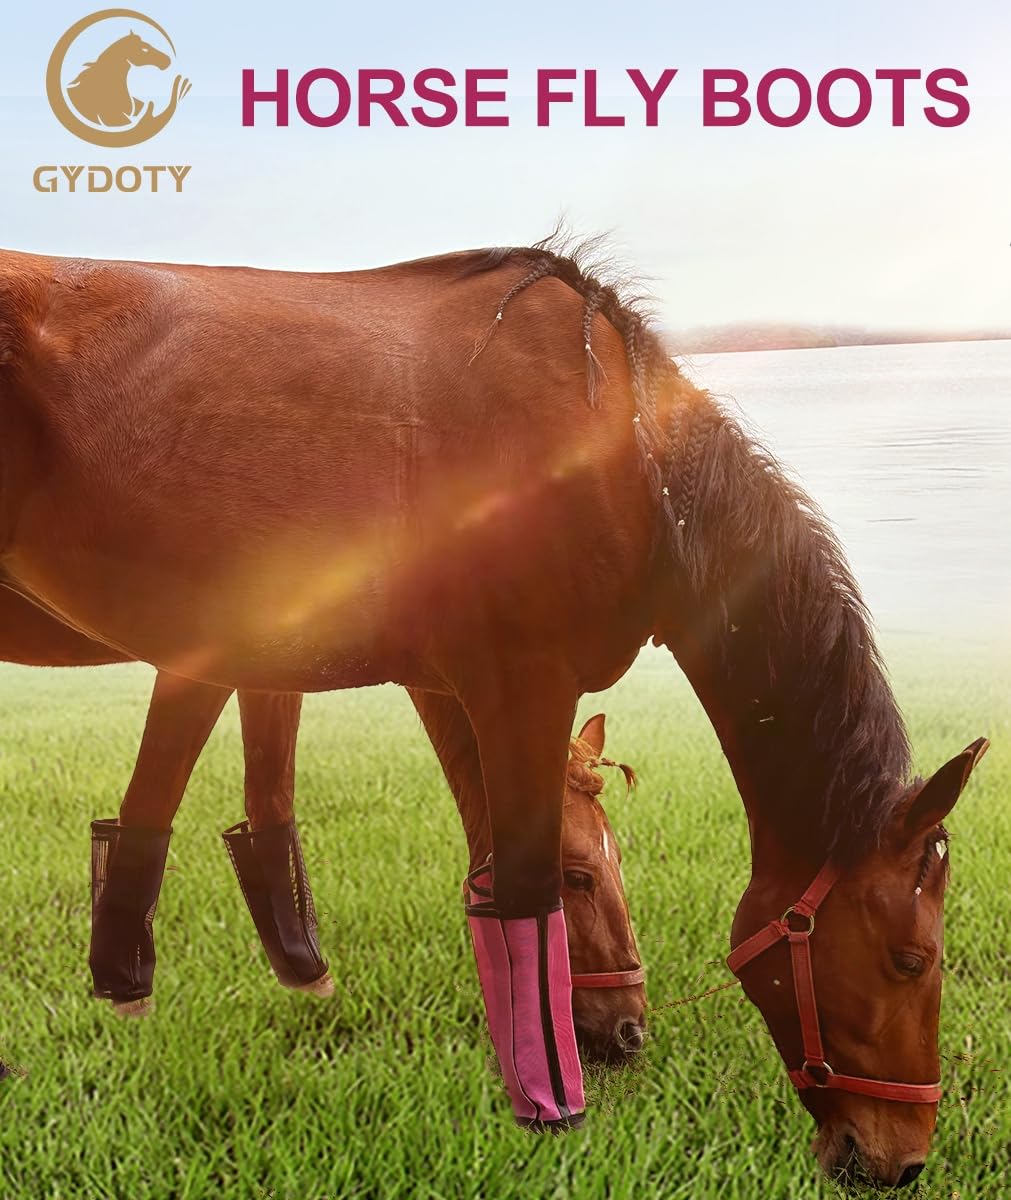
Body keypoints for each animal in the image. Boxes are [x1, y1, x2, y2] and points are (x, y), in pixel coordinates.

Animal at [0, 585, 645, 1058]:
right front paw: (124, 984)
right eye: (578, 876)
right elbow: (159, 783)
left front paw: (303, 969)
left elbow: (268, 786)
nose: (633, 1030)